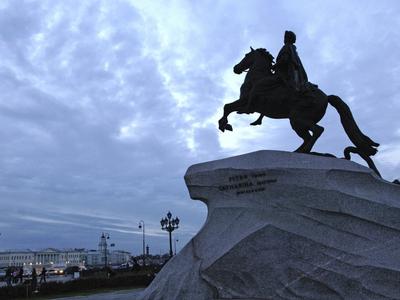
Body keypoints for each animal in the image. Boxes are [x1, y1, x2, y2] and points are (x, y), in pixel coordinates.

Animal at [219, 48, 382, 177]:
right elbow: (228, 107)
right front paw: (225, 124)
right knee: (308, 136)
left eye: (247, 55)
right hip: (299, 122)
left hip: (297, 119)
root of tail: (326, 97)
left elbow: (227, 107)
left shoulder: (246, 102)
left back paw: (303, 151)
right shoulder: (246, 103)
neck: (258, 77)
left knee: (317, 130)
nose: (236, 68)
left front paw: (224, 125)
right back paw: (300, 151)